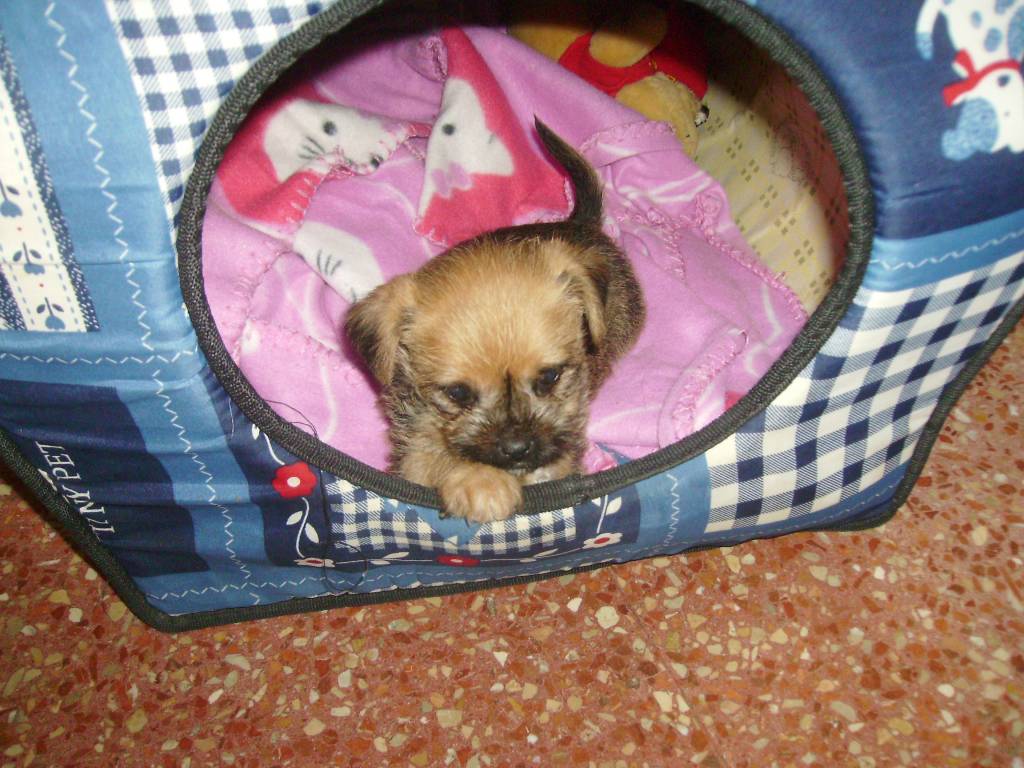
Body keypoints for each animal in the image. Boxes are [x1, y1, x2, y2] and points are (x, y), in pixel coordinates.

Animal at [345, 120, 644, 523]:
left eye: (550, 377)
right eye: (458, 393)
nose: (517, 448)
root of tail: (580, 224)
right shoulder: (412, 456)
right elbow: (433, 454)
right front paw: (479, 481)